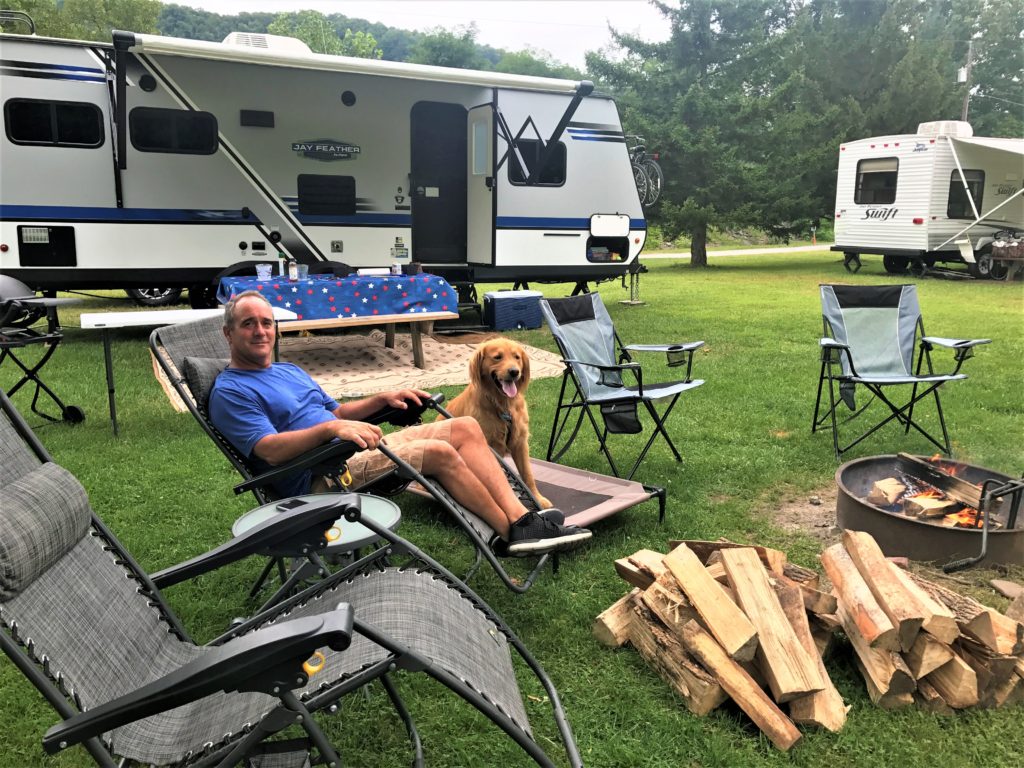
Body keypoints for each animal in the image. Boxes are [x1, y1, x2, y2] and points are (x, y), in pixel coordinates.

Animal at [442, 337, 552, 512]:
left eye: (516, 357)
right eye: (497, 357)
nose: (514, 372)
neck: (503, 405)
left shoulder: (520, 443)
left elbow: (527, 475)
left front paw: (538, 499)